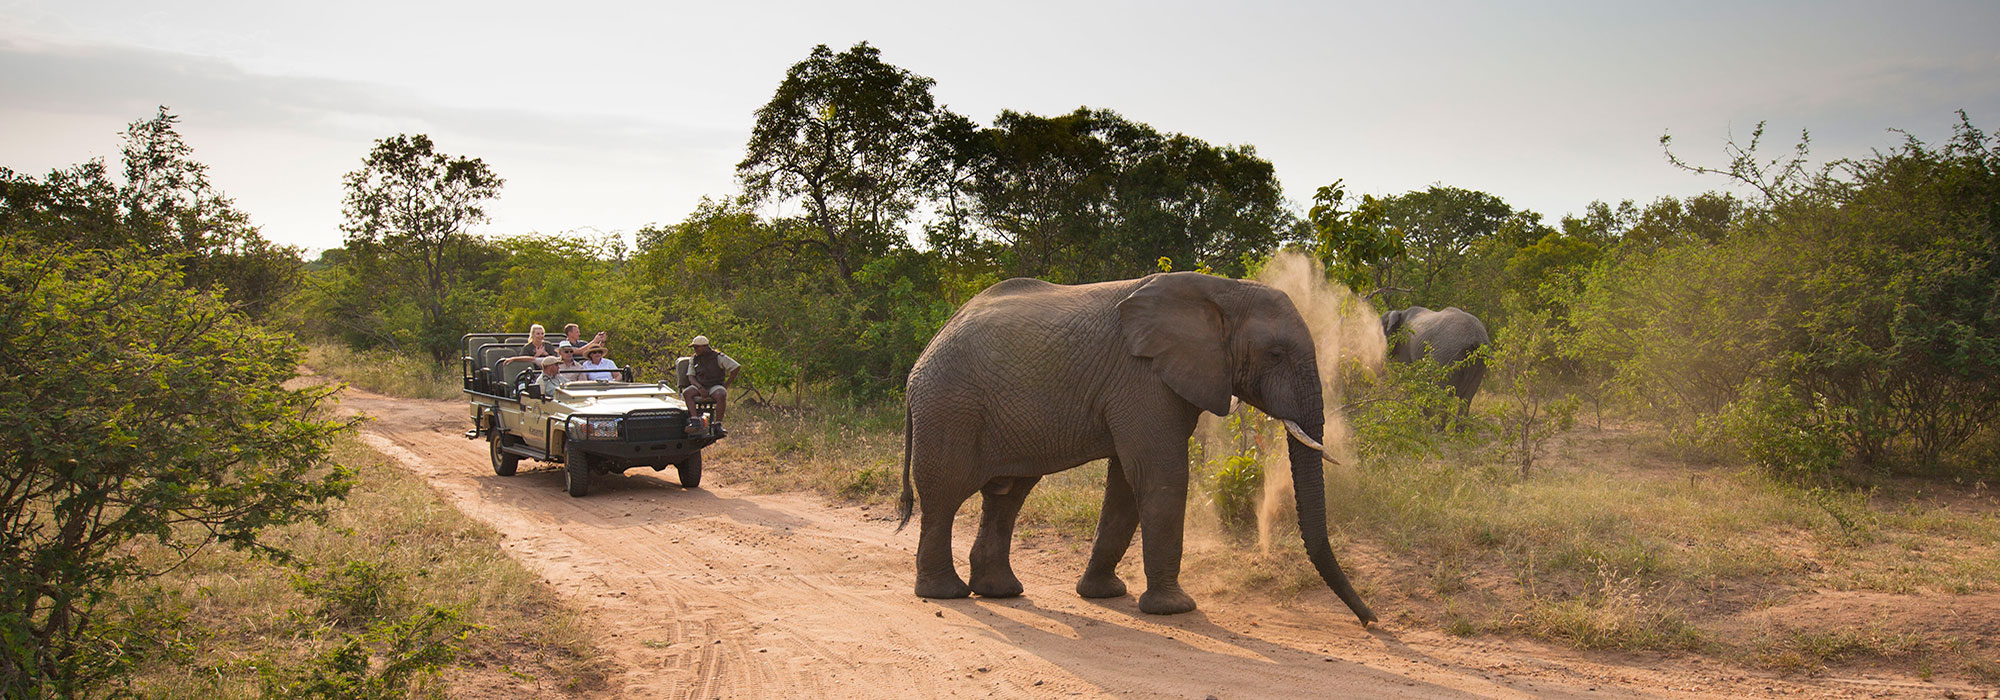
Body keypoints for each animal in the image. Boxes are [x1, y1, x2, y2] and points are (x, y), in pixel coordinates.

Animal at [904, 270, 1376, 624]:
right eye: (1275, 354)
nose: (1370, 621)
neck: (1224, 291)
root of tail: (922, 357)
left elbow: (1126, 485)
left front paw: (1104, 595)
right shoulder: (1144, 377)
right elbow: (1160, 475)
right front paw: (1175, 609)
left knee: (1007, 495)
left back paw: (1000, 592)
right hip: (948, 407)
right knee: (945, 495)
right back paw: (945, 594)